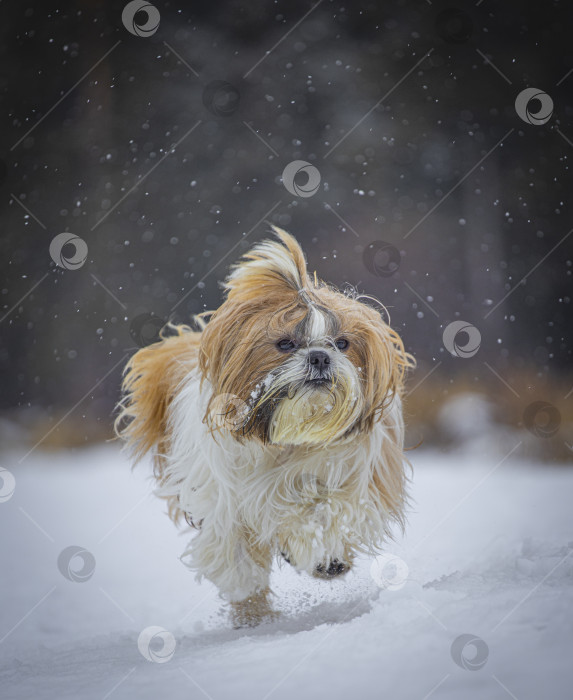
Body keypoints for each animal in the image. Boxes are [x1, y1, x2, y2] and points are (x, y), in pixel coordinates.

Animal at [115, 227, 412, 628]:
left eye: (343, 343)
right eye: (284, 344)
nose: (320, 357)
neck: (288, 439)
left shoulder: (356, 476)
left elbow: (330, 509)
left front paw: (326, 555)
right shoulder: (222, 501)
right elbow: (237, 556)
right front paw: (253, 611)